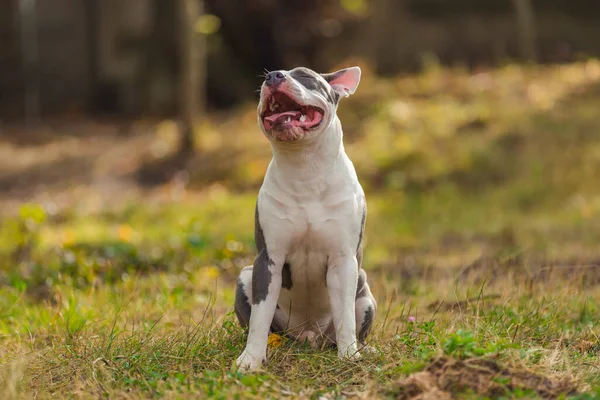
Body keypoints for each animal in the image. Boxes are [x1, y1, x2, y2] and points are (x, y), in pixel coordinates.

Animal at [234, 65, 376, 372]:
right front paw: (251, 359)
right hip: (245, 276)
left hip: (364, 288)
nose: (273, 76)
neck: (304, 168)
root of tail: (309, 336)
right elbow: (259, 318)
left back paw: (363, 348)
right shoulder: (268, 259)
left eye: (306, 76)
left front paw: (349, 355)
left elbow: (346, 316)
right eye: (267, 78)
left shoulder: (343, 260)